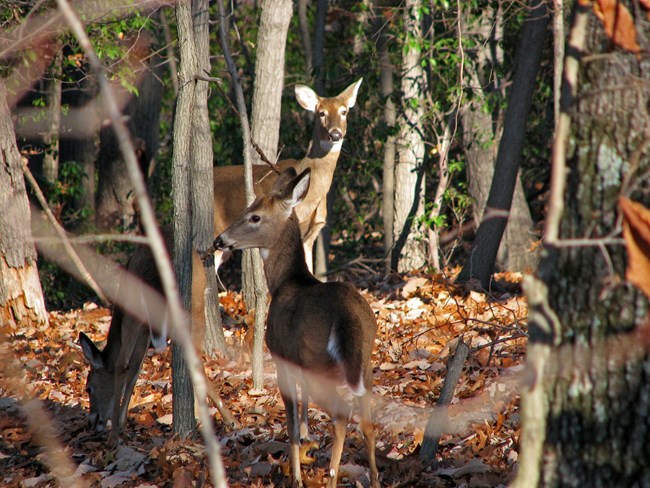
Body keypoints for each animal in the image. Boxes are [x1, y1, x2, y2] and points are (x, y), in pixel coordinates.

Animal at [79, 226, 238, 436]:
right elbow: (136, 369)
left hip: (140, 310)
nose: (91, 422)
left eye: (89, 388)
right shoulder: (146, 330)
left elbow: (128, 366)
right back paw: (217, 419)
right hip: (195, 305)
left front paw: (119, 424)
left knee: (123, 362)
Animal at [214, 168, 379, 488]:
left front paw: (297, 476)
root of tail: (348, 319)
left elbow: (290, 423)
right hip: (364, 364)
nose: (219, 240)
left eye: (255, 217)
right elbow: (302, 415)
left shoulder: (282, 358)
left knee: (342, 415)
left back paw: (331, 477)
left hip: (319, 362)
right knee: (367, 423)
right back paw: (374, 479)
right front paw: (304, 447)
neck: (284, 283)